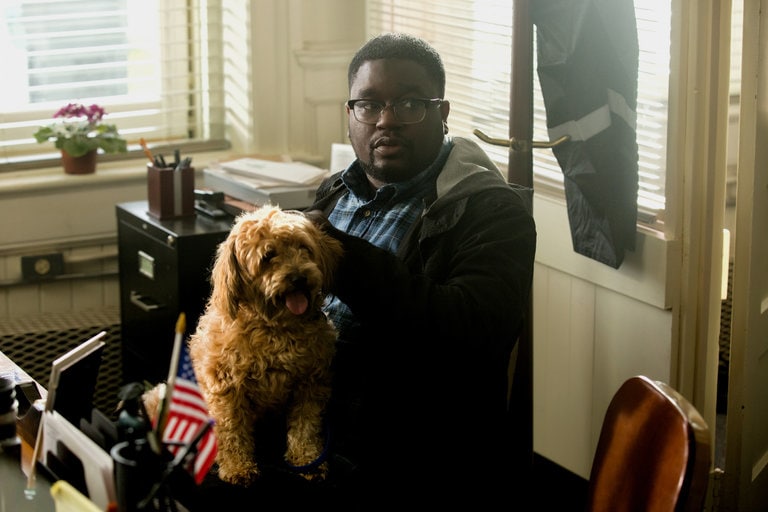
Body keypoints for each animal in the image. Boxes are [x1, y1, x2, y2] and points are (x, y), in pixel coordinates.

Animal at [186, 204, 342, 484]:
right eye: (268, 256)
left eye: (303, 248)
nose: (299, 278)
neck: (276, 328)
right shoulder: (226, 388)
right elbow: (232, 430)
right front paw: (237, 466)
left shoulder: (310, 385)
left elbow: (306, 427)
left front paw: (307, 459)